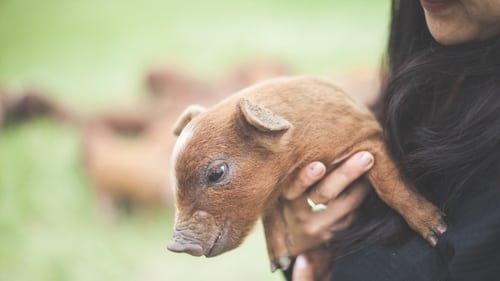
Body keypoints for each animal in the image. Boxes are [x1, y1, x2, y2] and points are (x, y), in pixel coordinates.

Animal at [166, 75, 448, 278]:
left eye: (217, 173)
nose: (174, 246)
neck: (297, 154)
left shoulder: (367, 138)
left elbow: (388, 184)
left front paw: (438, 231)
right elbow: (270, 212)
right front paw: (280, 263)